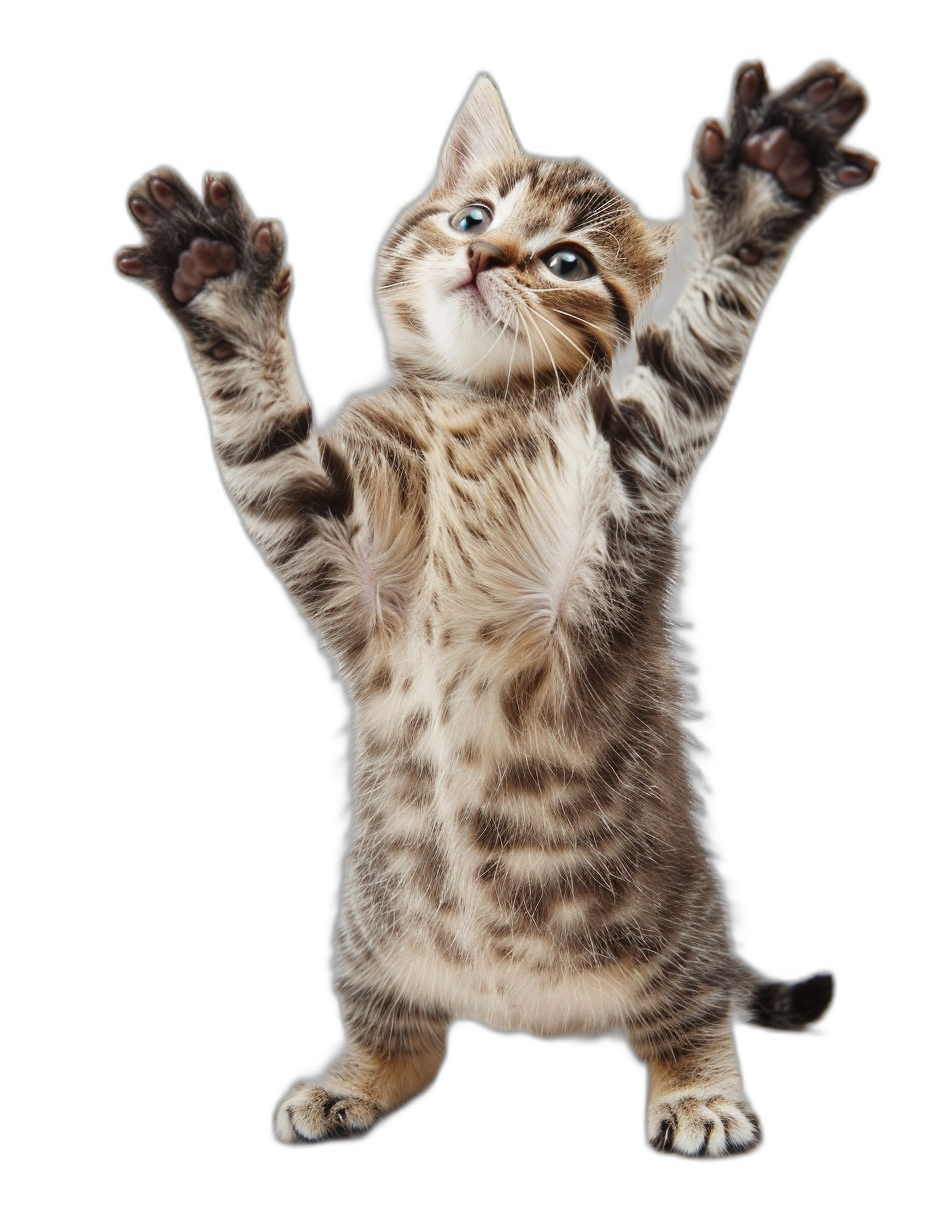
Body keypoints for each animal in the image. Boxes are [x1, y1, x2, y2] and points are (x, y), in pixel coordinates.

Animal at [113, 62, 867, 1158]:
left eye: (566, 261)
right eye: (473, 214)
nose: (481, 254)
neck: (475, 404)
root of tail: (527, 1012)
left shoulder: (624, 502)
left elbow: (689, 361)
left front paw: (768, 181)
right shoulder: (324, 543)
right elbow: (259, 433)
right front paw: (214, 277)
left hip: (675, 937)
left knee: (689, 1020)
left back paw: (700, 1096)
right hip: (370, 947)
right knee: (410, 1047)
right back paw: (350, 1081)